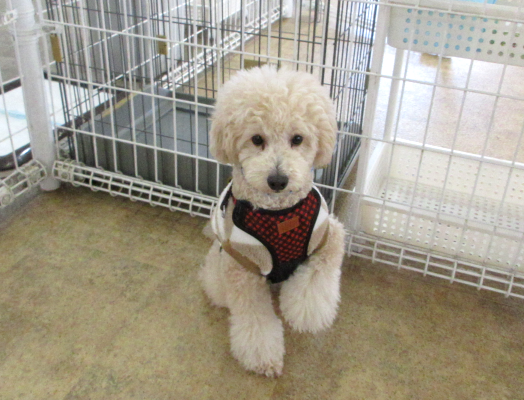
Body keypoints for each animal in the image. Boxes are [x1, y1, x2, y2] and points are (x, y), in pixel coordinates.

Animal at [200, 66, 346, 377]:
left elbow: (315, 280)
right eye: (257, 139)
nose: (278, 180)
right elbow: (254, 317)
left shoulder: (328, 236)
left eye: (298, 139)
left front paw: (305, 315)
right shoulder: (243, 268)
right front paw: (263, 356)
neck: (279, 213)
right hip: (218, 272)